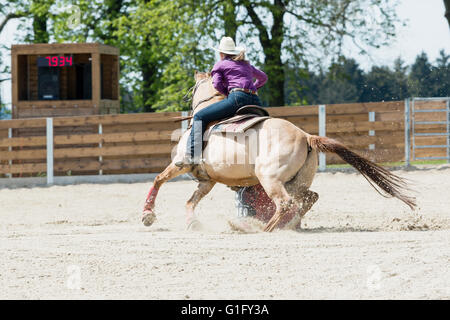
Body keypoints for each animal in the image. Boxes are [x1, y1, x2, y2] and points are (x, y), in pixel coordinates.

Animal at [142, 71, 416, 231]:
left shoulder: (181, 164)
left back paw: (263, 230)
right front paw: (192, 223)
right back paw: (288, 225)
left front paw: (147, 215)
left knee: (284, 203)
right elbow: (191, 201)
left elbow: (158, 179)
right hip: (296, 181)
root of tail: (306, 136)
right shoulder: (207, 181)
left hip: (270, 178)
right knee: (307, 198)